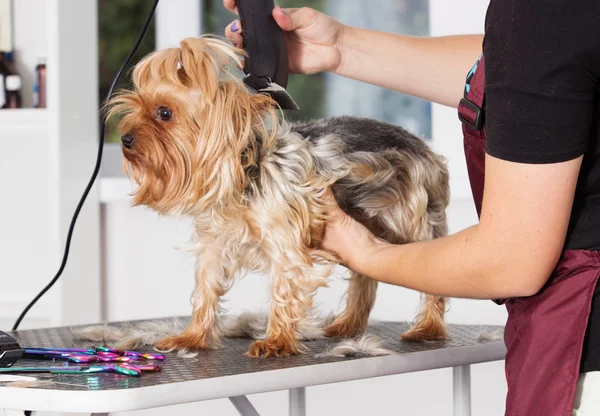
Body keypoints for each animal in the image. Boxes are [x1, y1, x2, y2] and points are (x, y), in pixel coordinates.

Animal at [108, 36, 448, 358]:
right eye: (135, 108)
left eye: (164, 113)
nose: (125, 139)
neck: (245, 173)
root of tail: (423, 146)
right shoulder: (215, 243)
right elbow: (206, 286)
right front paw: (192, 337)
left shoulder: (287, 236)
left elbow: (285, 285)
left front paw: (276, 341)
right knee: (365, 278)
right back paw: (348, 325)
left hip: (413, 217)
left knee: (431, 269)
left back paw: (428, 327)